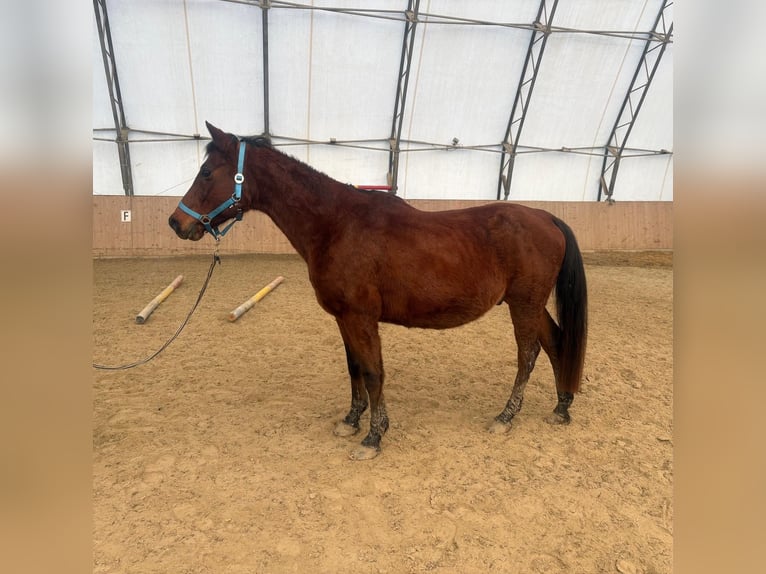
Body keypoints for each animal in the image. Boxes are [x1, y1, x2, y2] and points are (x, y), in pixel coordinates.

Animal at [169, 122, 588, 460]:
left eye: (206, 172)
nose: (176, 223)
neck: (337, 224)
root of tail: (546, 217)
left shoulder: (360, 317)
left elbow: (372, 372)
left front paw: (373, 436)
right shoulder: (344, 317)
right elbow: (354, 367)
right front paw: (351, 420)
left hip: (524, 304)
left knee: (528, 354)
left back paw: (505, 416)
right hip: (531, 304)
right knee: (555, 343)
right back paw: (561, 407)